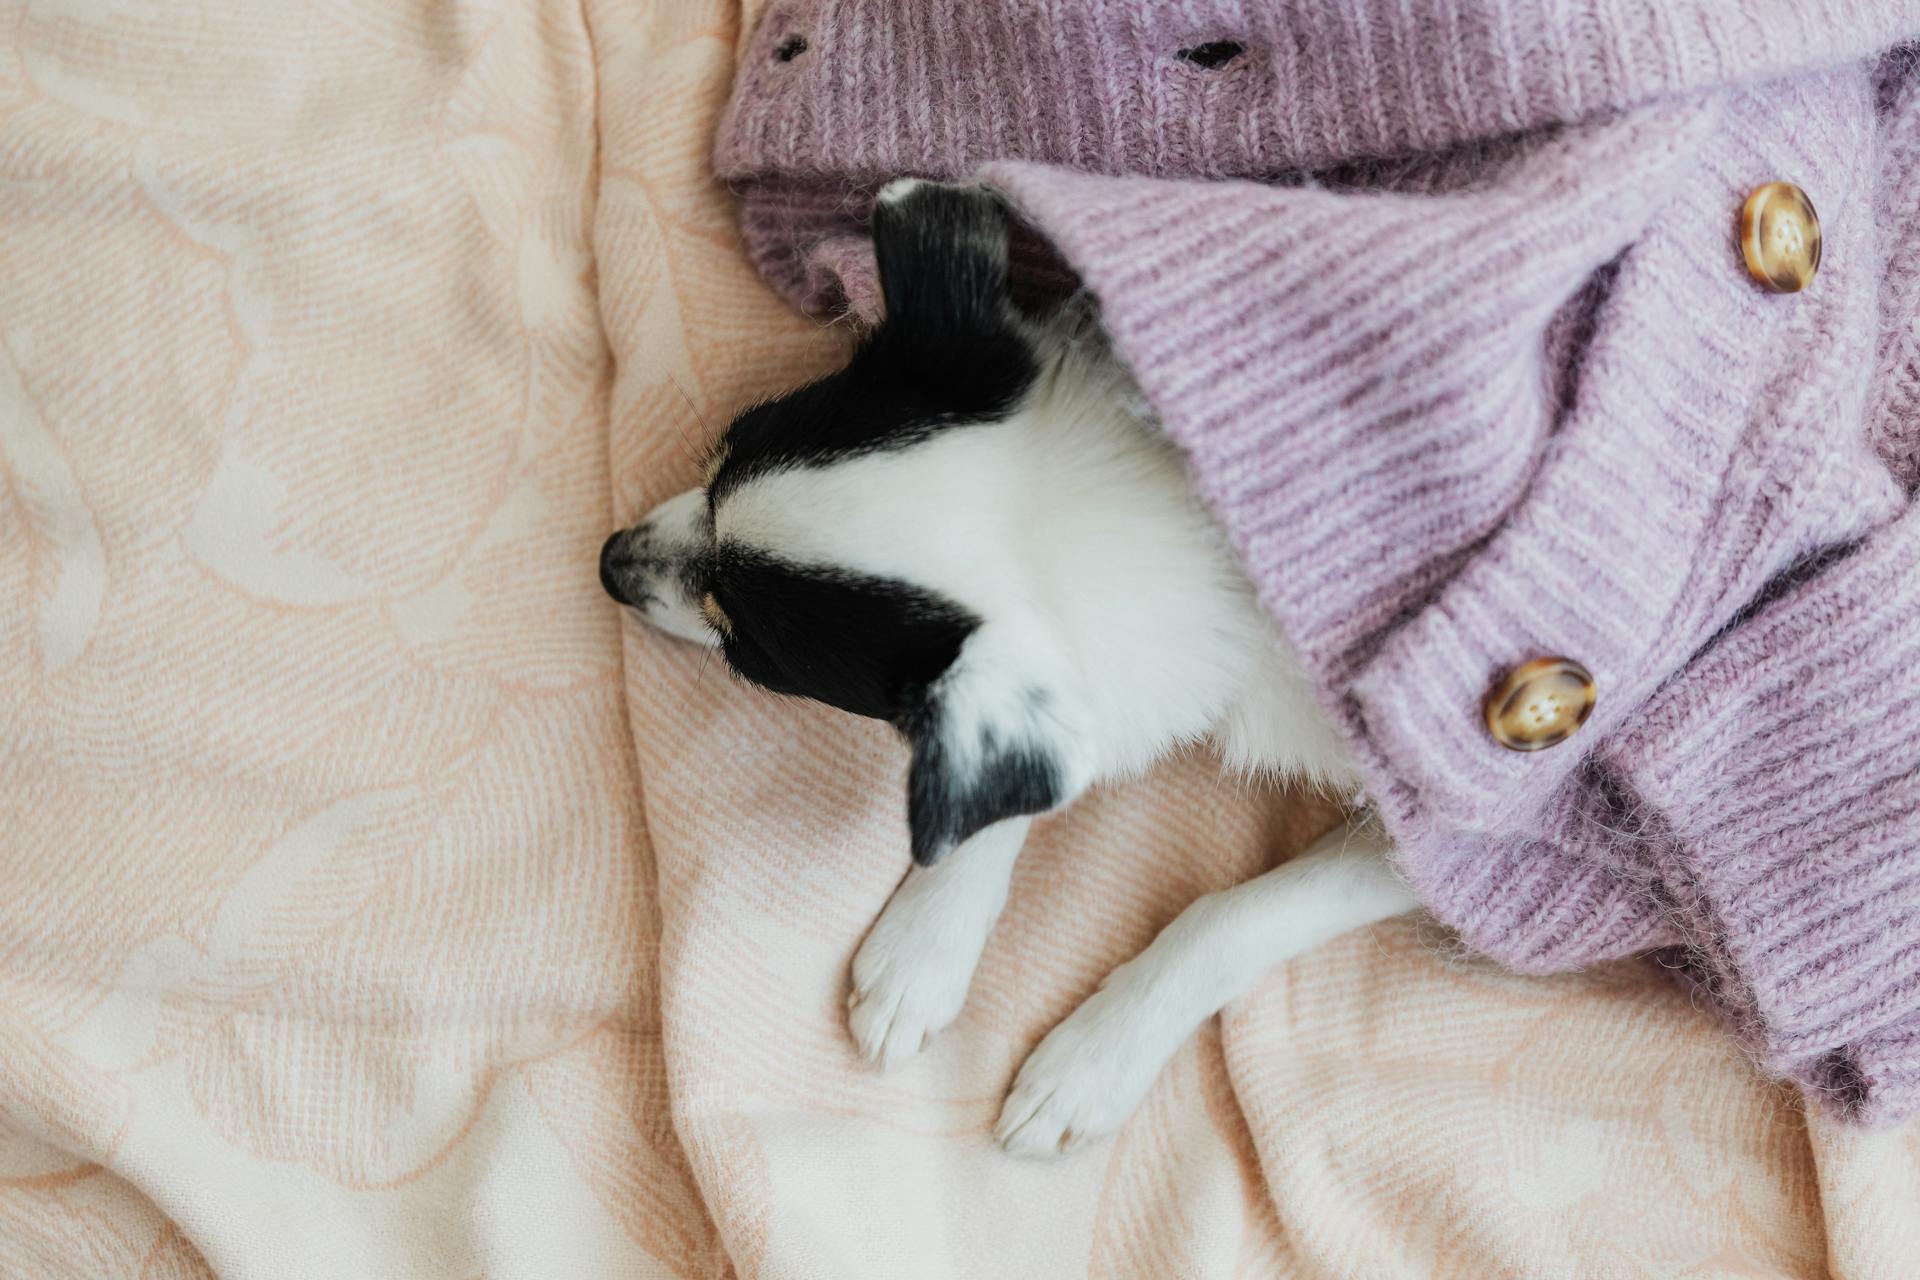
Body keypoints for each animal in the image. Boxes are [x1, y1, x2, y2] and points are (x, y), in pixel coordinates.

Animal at [602, 182, 1428, 1159]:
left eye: (745, 646)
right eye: (721, 457)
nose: (610, 561)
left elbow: (1247, 911)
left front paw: (1093, 1061)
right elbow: (994, 788)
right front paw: (929, 946)